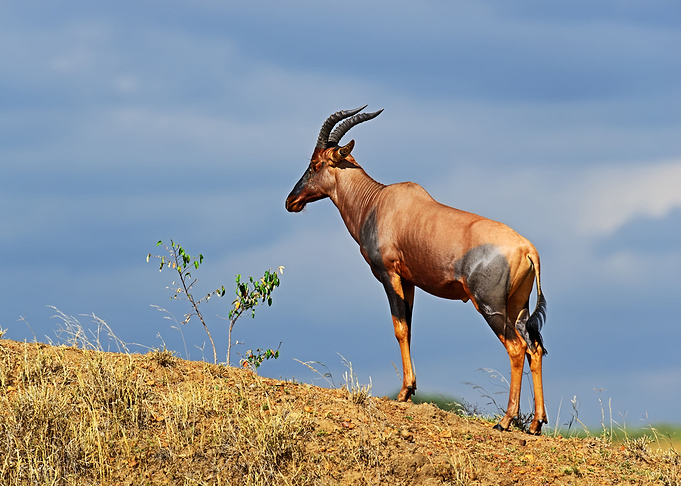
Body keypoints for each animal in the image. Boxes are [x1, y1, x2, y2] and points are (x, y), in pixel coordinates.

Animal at [285, 106, 548, 434]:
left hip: (491, 306)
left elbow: (399, 328)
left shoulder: (389, 275)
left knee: (515, 347)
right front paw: (410, 390)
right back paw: (536, 423)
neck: (378, 202)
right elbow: (408, 328)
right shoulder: (409, 281)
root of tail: (527, 249)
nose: (291, 201)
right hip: (518, 307)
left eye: (315, 164)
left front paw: (403, 393)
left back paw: (505, 420)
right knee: (534, 348)